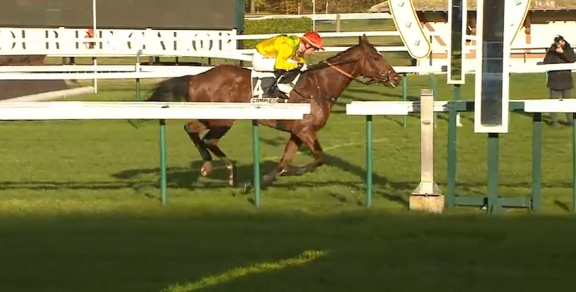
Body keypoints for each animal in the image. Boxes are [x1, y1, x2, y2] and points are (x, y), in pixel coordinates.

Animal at [144, 34, 400, 190]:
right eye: (376, 56)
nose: (395, 77)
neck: (321, 86)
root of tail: (195, 78)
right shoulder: (306, 130)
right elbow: (319, 158)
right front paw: (291, 172)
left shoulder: (297, 132)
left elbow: (284, 160)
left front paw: (262, 180)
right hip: (223, 119)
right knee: (202, 136)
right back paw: (219, 166)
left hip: (215, 118)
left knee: (195, 131)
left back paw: (217, 167)